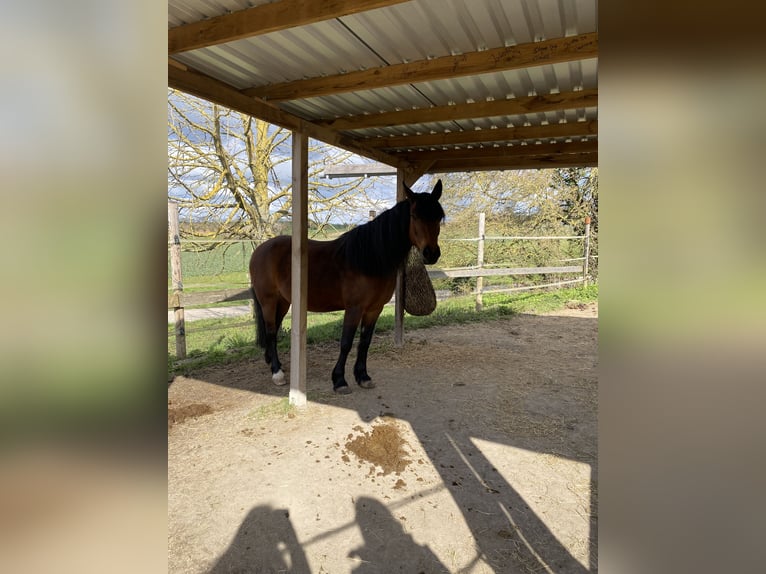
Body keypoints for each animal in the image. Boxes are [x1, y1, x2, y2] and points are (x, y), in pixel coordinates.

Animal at [249, 179, 445, 394]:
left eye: (439, 216)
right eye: (414, 215)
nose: (431, 253)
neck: (370, 259)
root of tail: (260, 249)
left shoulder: (374, 309)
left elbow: (365, 342)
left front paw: (363, 376)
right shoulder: (354, 308)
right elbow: (346, 343)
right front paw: (339, 380)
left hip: (284, 302)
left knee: (274, 330)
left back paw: (274, 364)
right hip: (268, 301)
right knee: (270, 332)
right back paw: (277, 373)